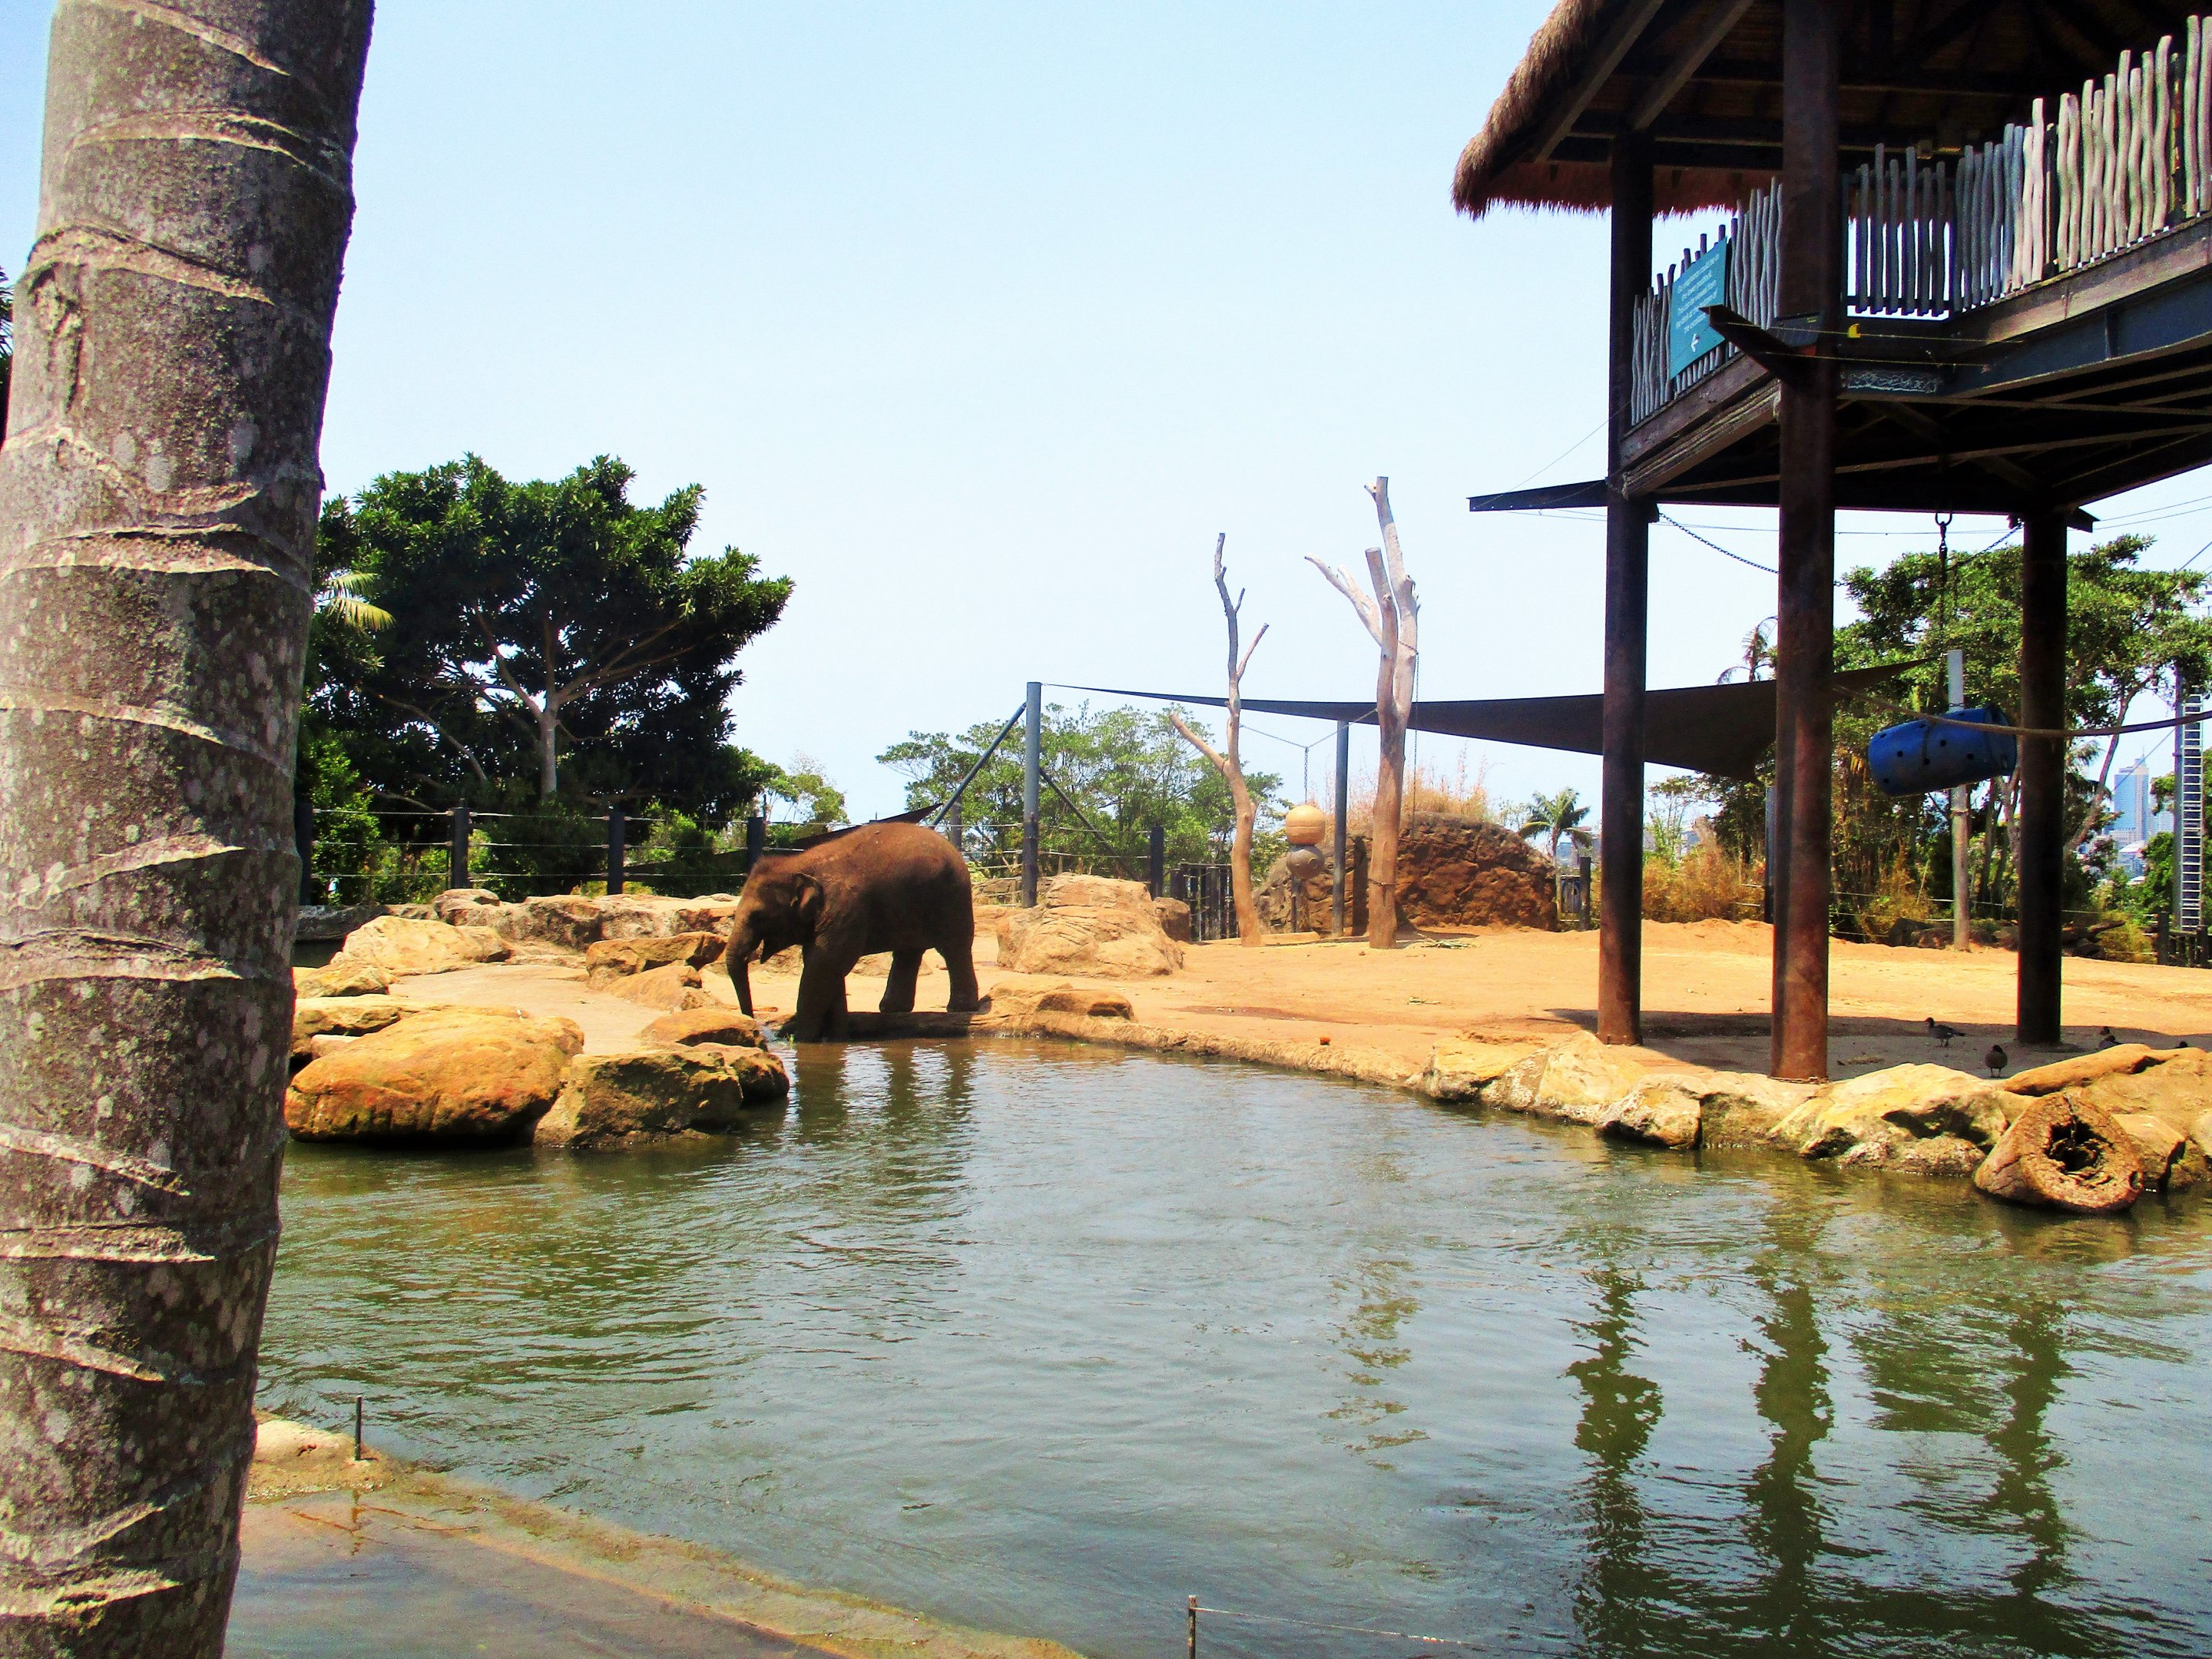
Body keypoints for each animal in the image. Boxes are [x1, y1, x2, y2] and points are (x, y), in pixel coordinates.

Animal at [725, 820, 981, 1041]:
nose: (756, 1027)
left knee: (954, 948)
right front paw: (837, 1036)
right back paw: (891, 1009)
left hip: (952, 897)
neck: (799, 862)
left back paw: (959, 1008)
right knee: (908, 952)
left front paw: (804, 1040)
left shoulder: (845, 909)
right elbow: (826, 965)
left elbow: (825, 963)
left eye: (758, 916)